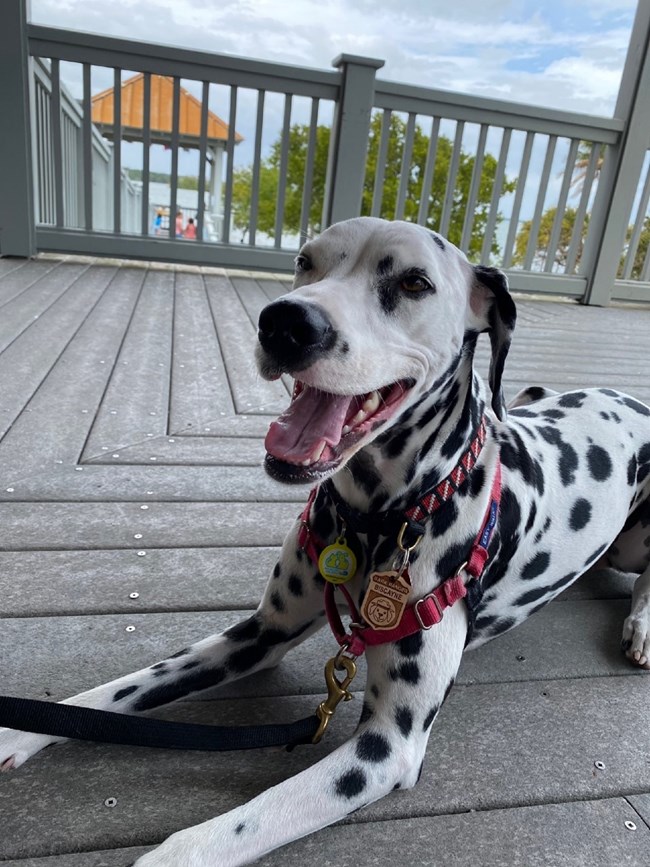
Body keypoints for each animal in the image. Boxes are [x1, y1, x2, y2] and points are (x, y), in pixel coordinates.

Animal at [3, 219, 648, 867]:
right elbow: (105, 696)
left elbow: (242, 823)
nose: (284, 323)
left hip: (633, 543)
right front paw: (16, 729)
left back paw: (640, 627)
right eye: (304, 261)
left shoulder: (387, 744)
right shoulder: (259, 634)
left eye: (414, 282)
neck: (375, 519)